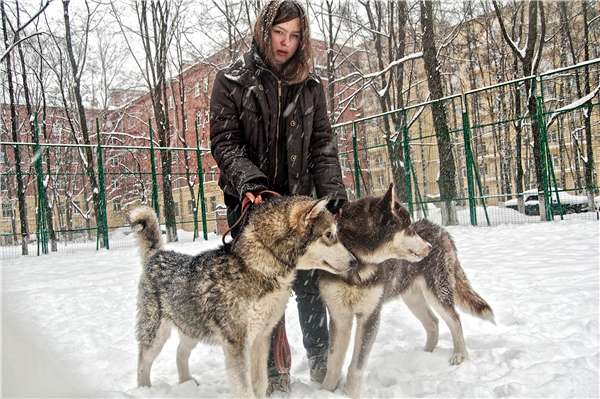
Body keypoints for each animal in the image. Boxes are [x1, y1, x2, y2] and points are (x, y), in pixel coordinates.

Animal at [130, 198, 356, 399]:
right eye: (329, 234)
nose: (354, 261)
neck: (260, 267)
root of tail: (157, 255)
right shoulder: (237, 342)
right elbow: (244, 388)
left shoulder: (262, 337)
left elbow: (260, 382)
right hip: (156, 334)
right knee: (142, 363)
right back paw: (144, 390)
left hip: (192, 327)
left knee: (180, 353)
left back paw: (186, 383)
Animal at [318, 186, 492, 398]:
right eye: (408, 228)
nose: (429, 247)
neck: (357, 264)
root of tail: (441, 230)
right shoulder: (339, 315)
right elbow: (334, 362)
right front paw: (326, 391)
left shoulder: (370, 315)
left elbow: (356, 365)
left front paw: (350, 392)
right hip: (412, 298)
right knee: (433, 322)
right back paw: (425, 354)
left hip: (437, 290)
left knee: (455, 320)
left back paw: (459, 355)